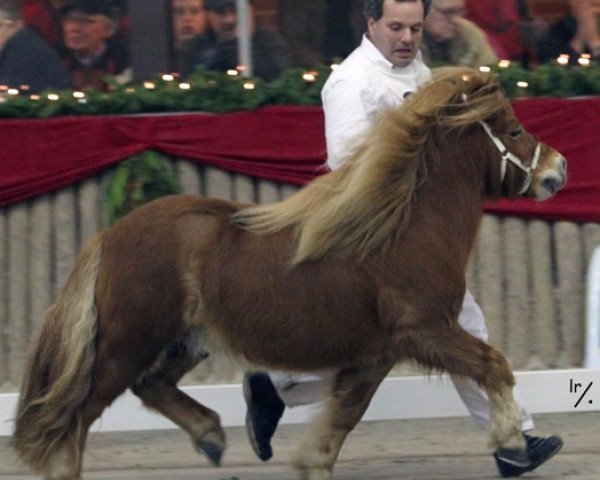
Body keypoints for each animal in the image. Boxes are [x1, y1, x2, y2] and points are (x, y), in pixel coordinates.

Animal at [14, 68, 568, 480]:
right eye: (513, 130)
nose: (558, 169)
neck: (403, 227)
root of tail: (107, 238)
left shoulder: (377, 351)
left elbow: (345, 413)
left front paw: (310, 462)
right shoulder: (424, 329)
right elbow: (493, 365)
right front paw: (514, 444)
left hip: (186, 339)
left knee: (151, 387)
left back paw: (213, 436)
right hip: (126, 342)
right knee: (76, 415)